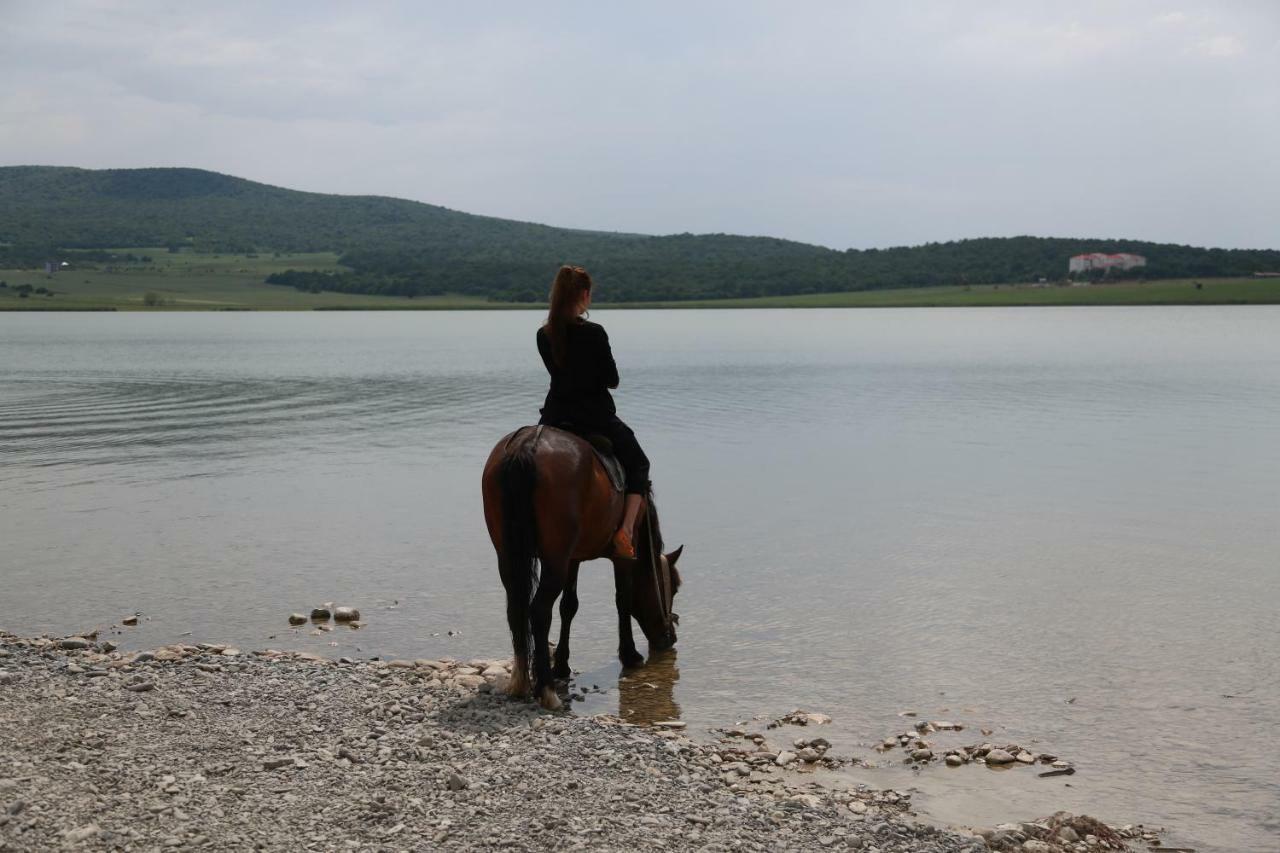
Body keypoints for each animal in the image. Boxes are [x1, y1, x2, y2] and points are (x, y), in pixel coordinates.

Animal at [481, 425, 680, 712]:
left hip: (510, 556)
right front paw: (630, 654)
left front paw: (562, 663)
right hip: (554, 559)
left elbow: (569, 606)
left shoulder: (572, 558)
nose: (669, 639)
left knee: (516, 608)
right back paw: (547, 690)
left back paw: (520, 681)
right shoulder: (623, 557)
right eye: (674, 588)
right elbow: (622, 599)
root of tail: (528, 443)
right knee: (539, 611)